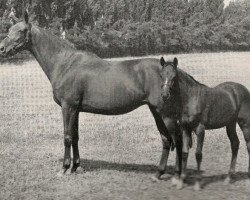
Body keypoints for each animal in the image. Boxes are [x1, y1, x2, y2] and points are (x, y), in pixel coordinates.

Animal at [0, 11, 182, 185]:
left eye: (21, 31)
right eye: (10, 29)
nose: (2, 48)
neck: (65, 63)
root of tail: (171, 71)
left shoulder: (68, 107)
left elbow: (67, 137)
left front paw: (64, 168)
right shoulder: (76, 109)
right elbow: (75, 137)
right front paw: (76, 167)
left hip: (164, 113)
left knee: (177, 140)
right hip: (156, 112)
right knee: (166, 140)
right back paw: (158, 173)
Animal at [159, 56, 250, 191]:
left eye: (174, 76)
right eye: (161, 75)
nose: (165, 95)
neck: (191, 98)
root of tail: (242, 89)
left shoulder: (200, 129)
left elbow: (198, 154)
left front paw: (197, 184)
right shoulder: (185, 129)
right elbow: (185, 153)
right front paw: (181, 181)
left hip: (245, 123)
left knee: (248, 145)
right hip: (230, 124)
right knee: (235, 143)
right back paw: (229, 177)